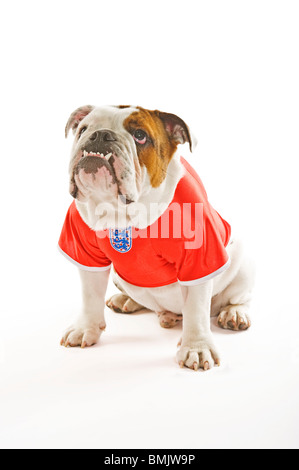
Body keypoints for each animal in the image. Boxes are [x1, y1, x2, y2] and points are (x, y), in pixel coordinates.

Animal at [59, 105, 255, 370]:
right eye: (83, 130)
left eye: (140, 135)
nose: (100, 135)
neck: (120, 212)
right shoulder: (85, 253)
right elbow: (90, 296)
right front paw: (84, 329)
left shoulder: (200, 259)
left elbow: (196, 309)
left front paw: (197, 347)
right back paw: (127, 301)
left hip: (242, 264)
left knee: (237, 298)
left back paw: (234, 313)